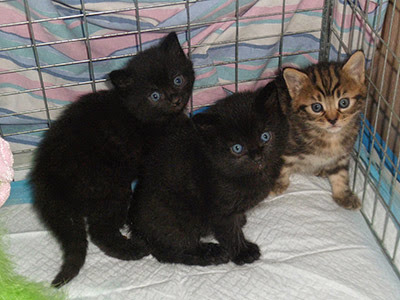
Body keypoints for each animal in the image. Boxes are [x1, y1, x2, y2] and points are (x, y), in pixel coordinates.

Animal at [28, 31, 195, 288]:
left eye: (178, 80)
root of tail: (47, 175)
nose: (175, 99)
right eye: (154, 95)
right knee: (99, 230)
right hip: (111, 186)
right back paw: (131, 249)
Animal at [128, 81, 288, 264]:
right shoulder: (220, 209)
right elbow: (230, 232)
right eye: (237, 148)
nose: (257, 157)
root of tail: (136, 228)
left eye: (265, 136)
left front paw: (242, 220)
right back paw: (212, 253)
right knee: (173, 250)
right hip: (175, 219)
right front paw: (243, 252)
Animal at [274, 51, 368, 209]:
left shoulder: (342, 154)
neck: (329, 137)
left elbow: (341, 174)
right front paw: (277, 184)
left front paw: (343, 195)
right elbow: (282, 166)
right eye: (316, 107)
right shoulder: (284, 147)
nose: (332, 120)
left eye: (344, 102)